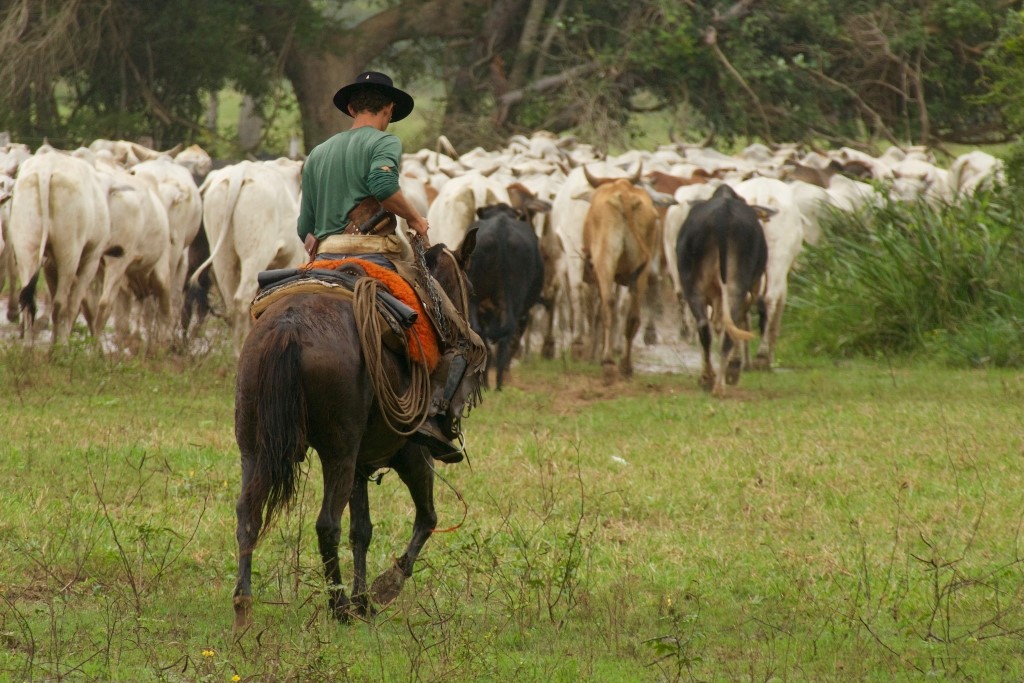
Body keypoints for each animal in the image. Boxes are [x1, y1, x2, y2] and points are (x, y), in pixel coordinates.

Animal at [7, 148, 110, 342]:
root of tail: (46, 168)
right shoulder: (91, 258)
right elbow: (74, 304)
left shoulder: (49, 263)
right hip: (70, 254)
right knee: (60, 303)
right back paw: (59, 347)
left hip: (26, 246)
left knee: (28, 299)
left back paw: (28, 346)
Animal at [232, 236, 475, 630]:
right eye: (466, 286)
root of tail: (288, 326)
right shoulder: (411, 455)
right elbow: (426, 518)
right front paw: (383, 588)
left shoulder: (362, 465)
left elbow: (361, 530)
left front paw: (364, 600)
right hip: (339, 454)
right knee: (326, 524)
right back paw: (339, 606)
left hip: (254, 448)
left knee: (247, 514)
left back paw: (243, 605)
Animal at [464, 202, 544, 389]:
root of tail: (500, 229)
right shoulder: (523, 311)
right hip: (513, 301)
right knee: (507, 333)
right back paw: (499, 384)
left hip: (476, 299)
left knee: (481, 331)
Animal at [671, 184, 770, 397]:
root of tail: (722, 213)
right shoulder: (753, 288)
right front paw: (734, 367)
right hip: (737, 285)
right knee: (729, 327)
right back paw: (720, 381)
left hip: (693, 286)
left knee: (704, 326)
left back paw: (710, 379)